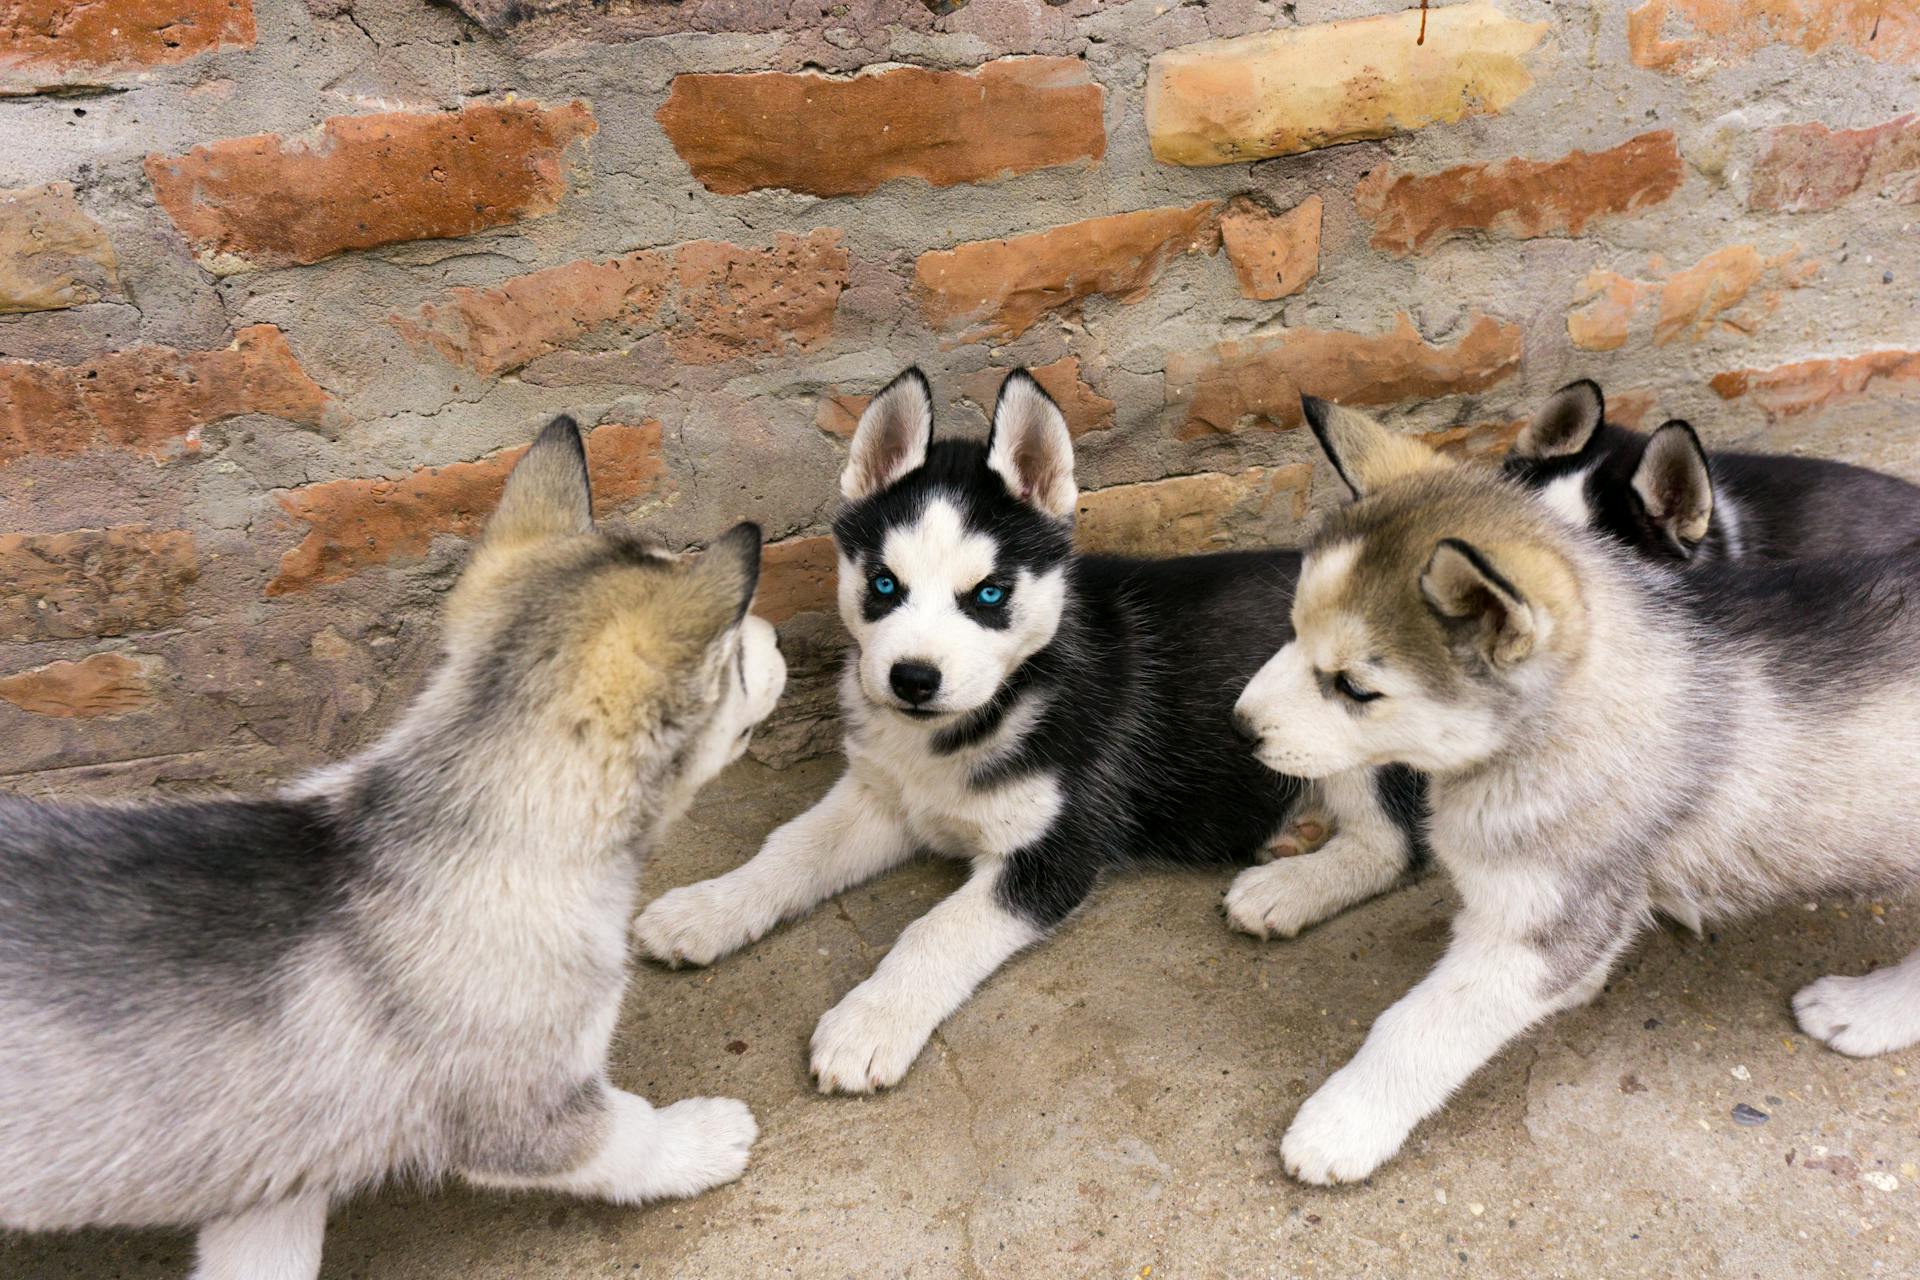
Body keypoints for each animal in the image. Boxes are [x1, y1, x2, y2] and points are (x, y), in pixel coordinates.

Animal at [0, 420, 787, 1280]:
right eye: (735, 653)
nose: (779, 632)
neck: (475, 819)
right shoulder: (528, 1113)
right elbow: (626, 1135)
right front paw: (697, 1139)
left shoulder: (273, 1174)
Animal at [637, 368, 1420, 1090]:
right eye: (884, 585)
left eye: (989, 594)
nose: (913, 679)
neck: (967, 725)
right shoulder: (881, 797)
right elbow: (790, 849)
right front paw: (705, 909)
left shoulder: (1055, 850)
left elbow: (936, 930)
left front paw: (869, 1023)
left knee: (1391, 847)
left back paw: (1289, 888)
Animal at [1236, 404, 1920, 1189]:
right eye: (1292, 630)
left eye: (1354, 686)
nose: (1238, 727)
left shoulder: (1543, 924)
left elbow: (1419, 1025)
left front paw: (1344, 1122)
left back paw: (1866, 1010)